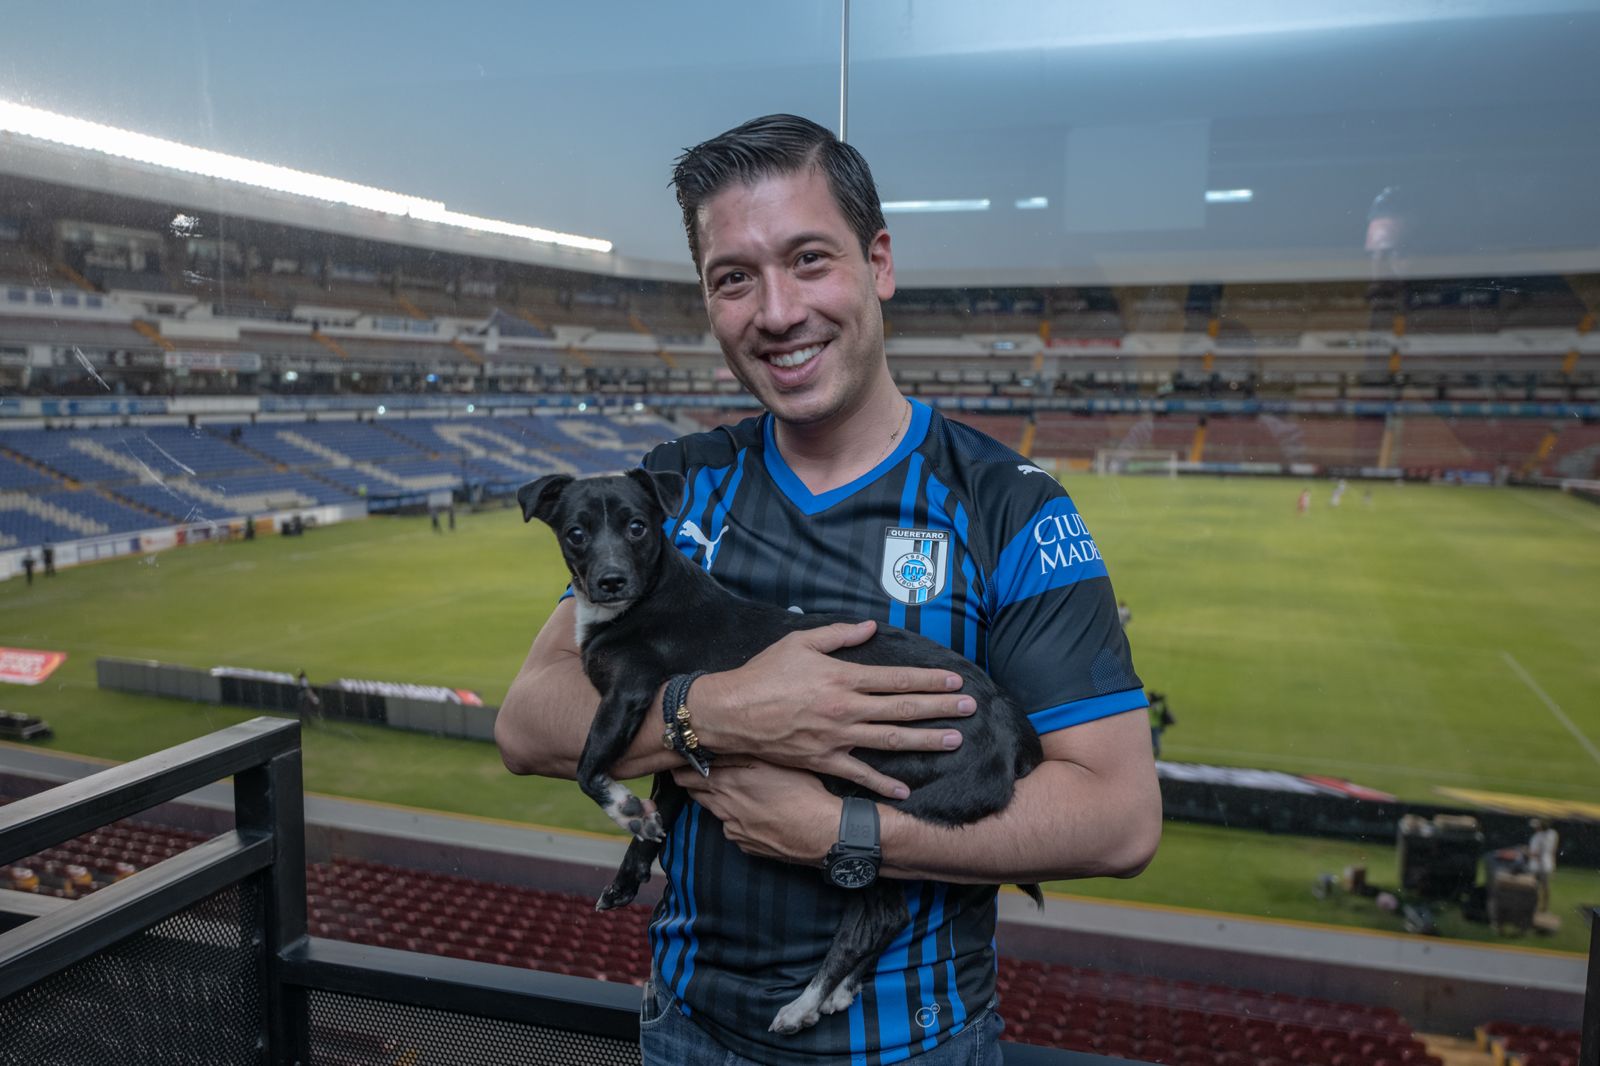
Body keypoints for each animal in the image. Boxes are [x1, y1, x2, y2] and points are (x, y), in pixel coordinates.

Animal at [518, 468, 1043, 1035]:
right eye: (575, 533)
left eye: (637, 526)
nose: (611, 580)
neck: (645, 600)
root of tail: (1009, 725)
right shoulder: (677, 757)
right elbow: (653, 831)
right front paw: (630, 862)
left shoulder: (628, 694)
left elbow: (587, 768)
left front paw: (624, 806)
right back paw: (840, 991)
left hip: (870, 787)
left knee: (880, 917)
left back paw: (806, 1003)